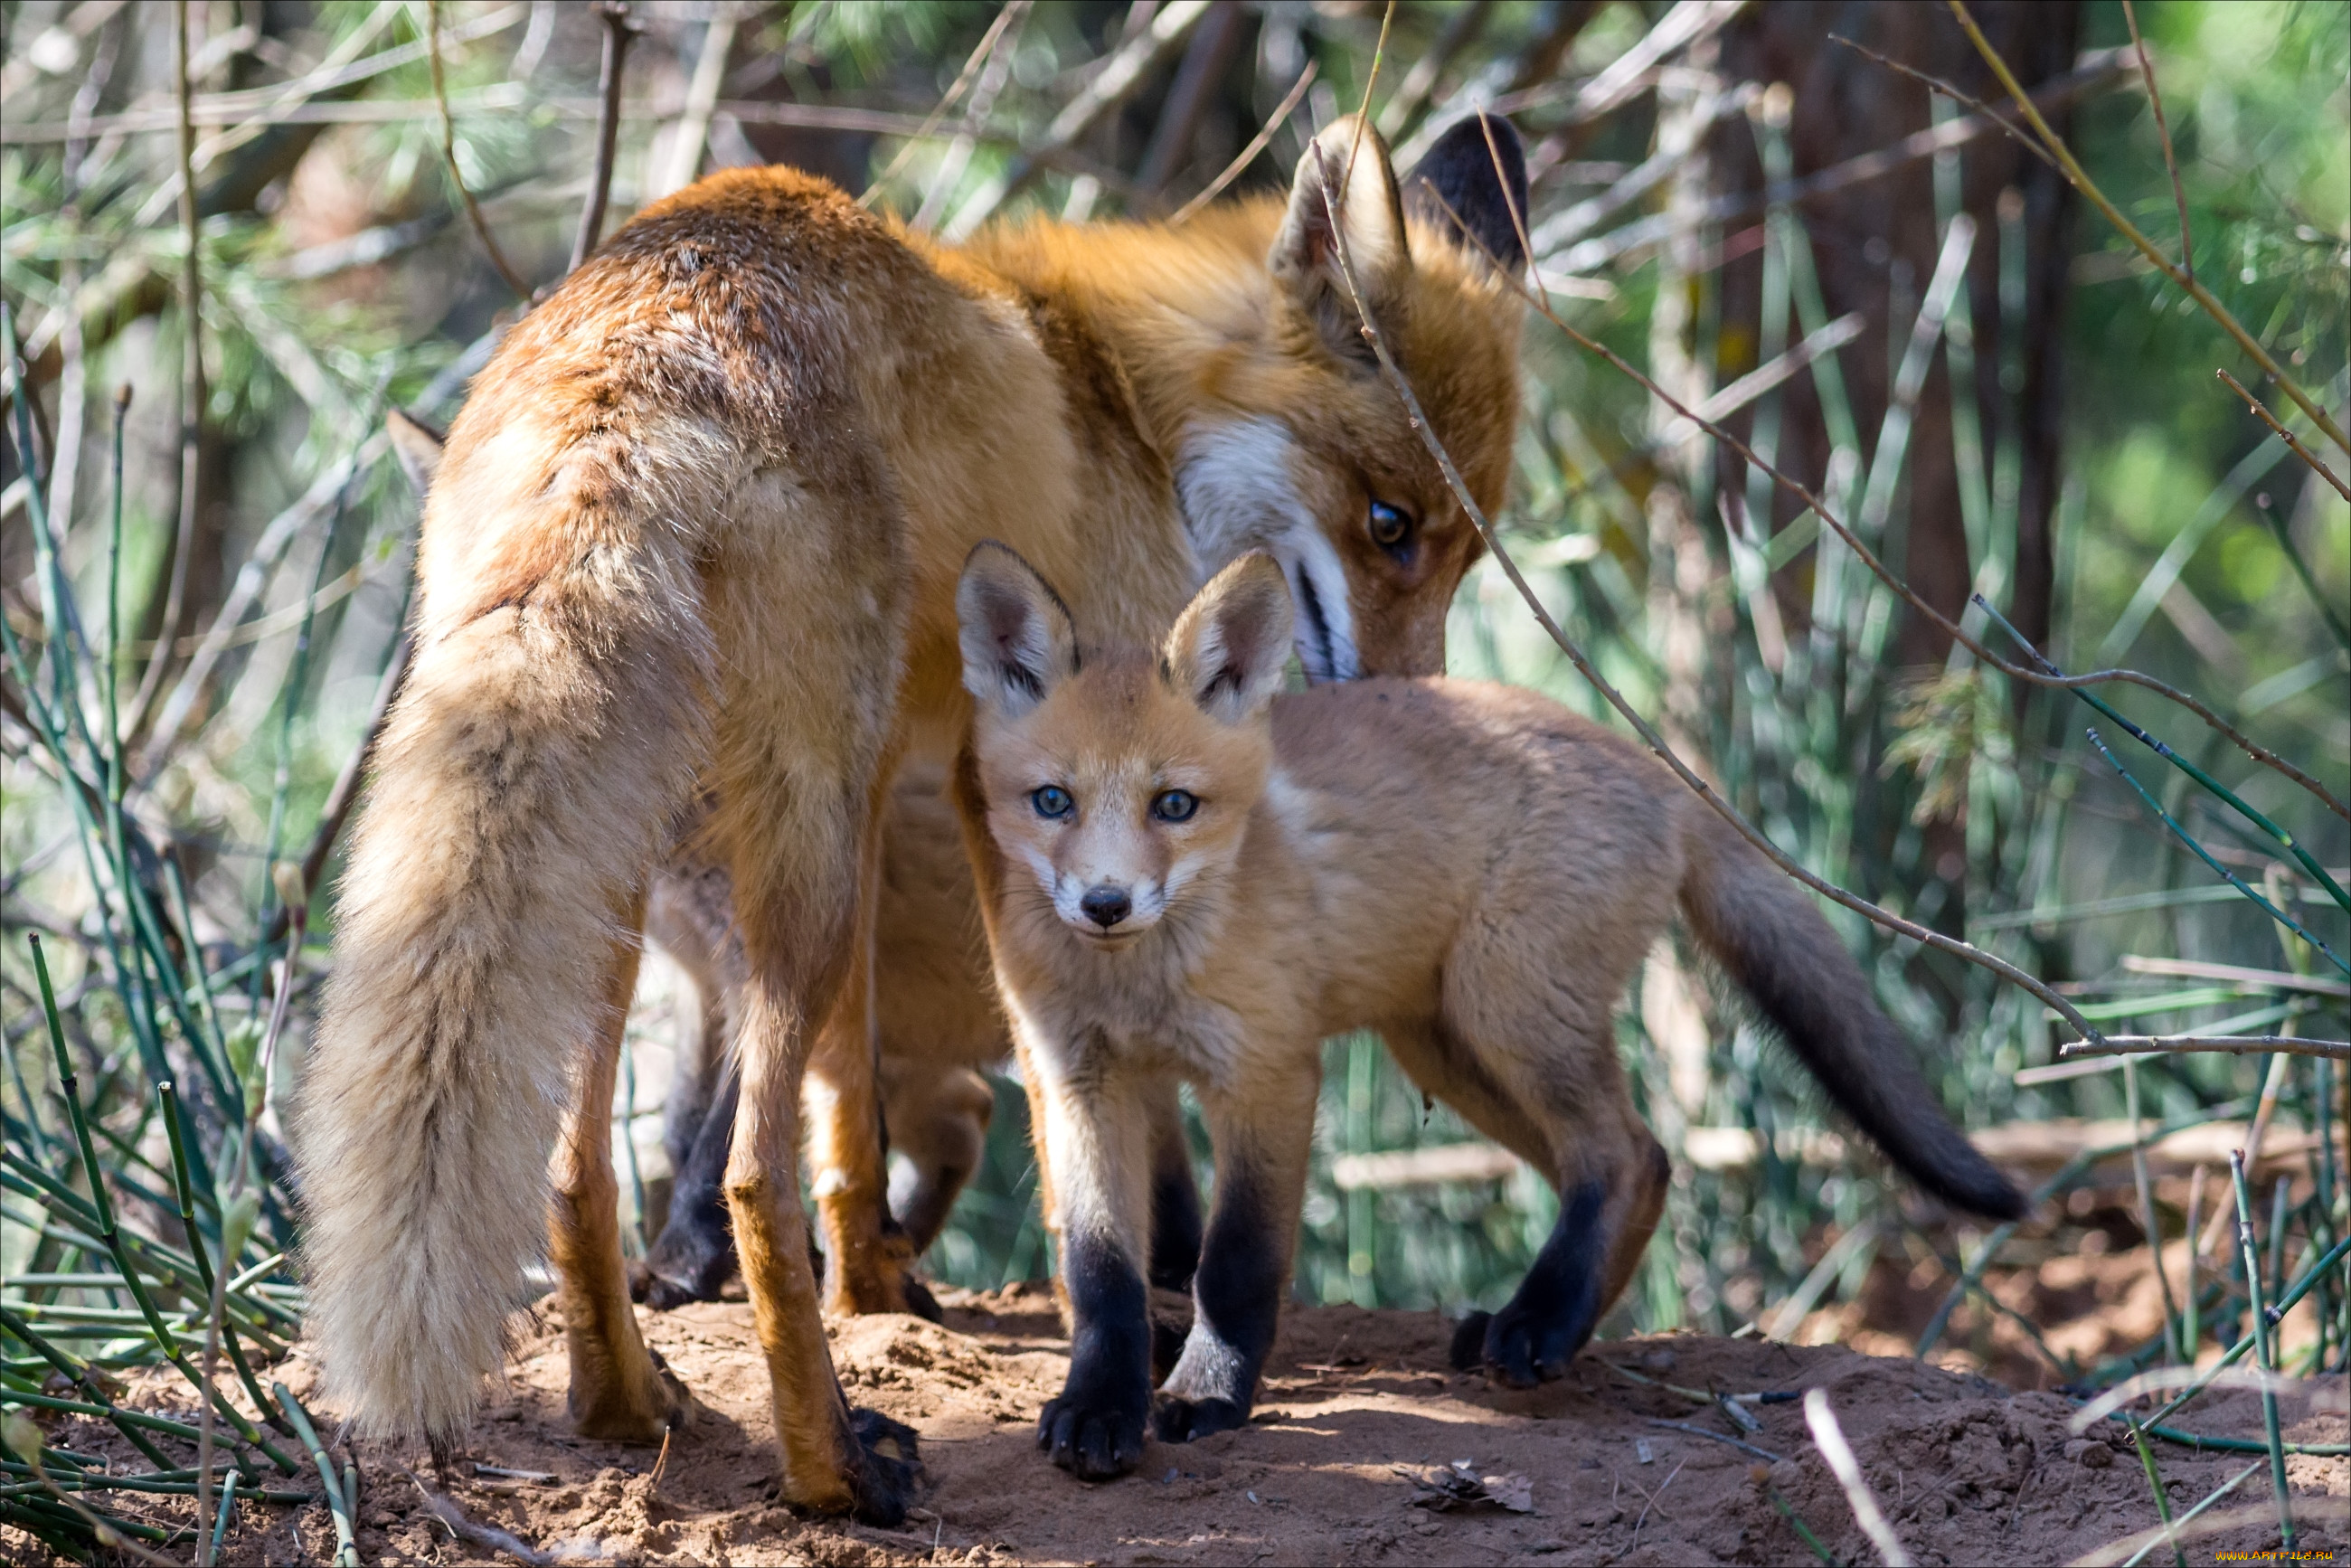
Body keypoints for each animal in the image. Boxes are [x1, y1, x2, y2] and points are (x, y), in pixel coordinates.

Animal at [294, 113, 1533, 1523]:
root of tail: (625, 353)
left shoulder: (907, 776)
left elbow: (854, 1102)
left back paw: (629, 1405)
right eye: (1389, 524)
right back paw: (832, 1466)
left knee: (575, 1167)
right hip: (800, 844)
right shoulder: (1019, 784)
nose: (1418, 706)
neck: (1124, 410)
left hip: (645, 856)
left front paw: (884, 1283)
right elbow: (1068, 1105)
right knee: (750, 1175)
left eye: (1468, 549)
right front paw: (1128, 1319)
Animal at [949, 545, 2022, 1476]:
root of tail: (1651, 764)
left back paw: (1537, 1325)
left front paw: (1208, 1391)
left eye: (1174, 805)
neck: (1137, 981)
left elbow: (1238, 1262)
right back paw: (1543, 1327)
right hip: (1450, 1049)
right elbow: (1101, 1274)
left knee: (1624, 1152)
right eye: (1052, 800)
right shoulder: (1079, 1080)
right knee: (1634, 1166)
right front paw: (1099, 1405)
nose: (1104, 904)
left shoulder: (1267, 1073)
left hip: (1503, 1010)